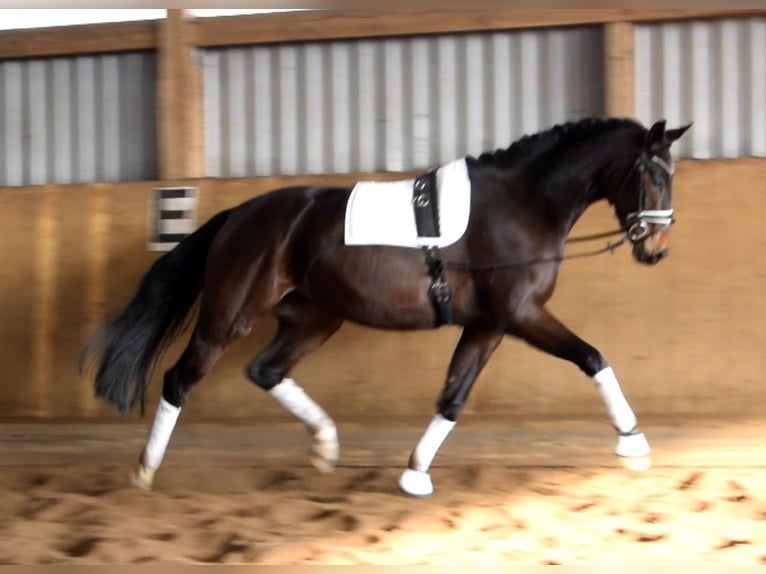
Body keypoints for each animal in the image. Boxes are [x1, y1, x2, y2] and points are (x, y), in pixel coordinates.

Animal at [79, 116, 691, 497]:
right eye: (654, 175)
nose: (658, 248)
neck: (523, 204)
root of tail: (239, 215)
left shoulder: (488, 326)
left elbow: (453, 396)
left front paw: (415, 474)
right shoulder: (520, 316)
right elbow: (592, 357)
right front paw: (633, 441)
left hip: (316, 317)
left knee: (266, 370)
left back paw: (325, 444)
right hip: (230, 316)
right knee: (180, 379)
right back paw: (146, 472)